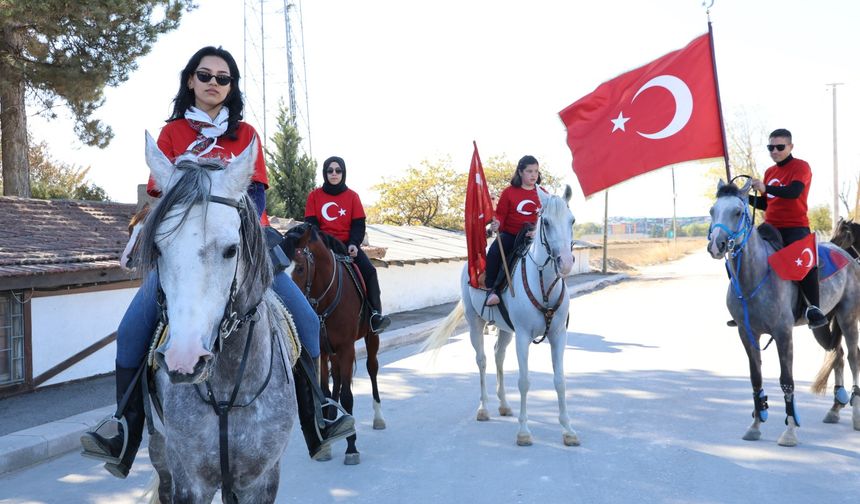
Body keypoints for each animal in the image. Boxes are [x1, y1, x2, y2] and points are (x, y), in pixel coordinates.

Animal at [135, 135, 296, 504]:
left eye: (231, 249)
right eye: (158, 249)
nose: (184, 359)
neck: (227, 391)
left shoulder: (260, 480)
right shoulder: (190, 480)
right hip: (159, 451)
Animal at [280, 222, 384, 466]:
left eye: (300, 268)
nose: (289, 306)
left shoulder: (346, 348)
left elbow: (347, 395)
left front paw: (351, 447)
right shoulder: (321, 349)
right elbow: (325, 389)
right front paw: (328, 435)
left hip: (371, 338)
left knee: (372, 369)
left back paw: (377, 417)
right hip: (332, 351)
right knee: (335, 378)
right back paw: (334, 417)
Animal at [424, 185, 576, 444]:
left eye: (572, 220)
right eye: (545, 222)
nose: (565, 262)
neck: (543, 285)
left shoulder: (558, 335)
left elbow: (560, 380)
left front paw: (568, 430)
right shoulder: (523, 336)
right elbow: (524, 381)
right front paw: (524, 432)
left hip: (505, 329)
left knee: (498, 356)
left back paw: (504, 404)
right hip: (475, 323)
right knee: (482, 360)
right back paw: (484, 408)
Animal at [704, 178, 860, 444]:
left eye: (737, 212)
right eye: (712, 211)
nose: (716, 245)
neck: (753, 277)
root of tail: (847, 255)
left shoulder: (783, 333)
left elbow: (787, 380)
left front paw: (790, 430)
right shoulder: (747, 334)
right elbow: (755, 378)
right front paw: (755, 425)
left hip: (847, 318)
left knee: (852, 357)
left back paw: (856, 415)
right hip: (822, 325)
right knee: (837, 354)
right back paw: (834, 408)